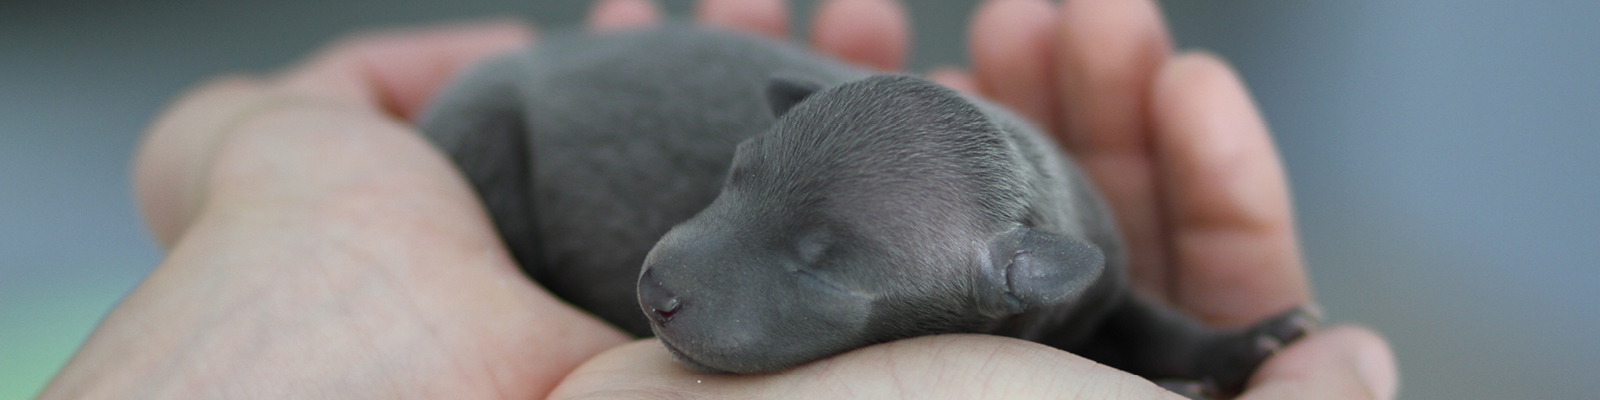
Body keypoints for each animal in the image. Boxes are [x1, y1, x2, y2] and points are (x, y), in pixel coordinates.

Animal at [416, 22, 1312, 396]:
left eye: (824, 271)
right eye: (734, 173)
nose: (654, 293)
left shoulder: (1098, 277)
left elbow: (1150, 317)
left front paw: (1244, 341)